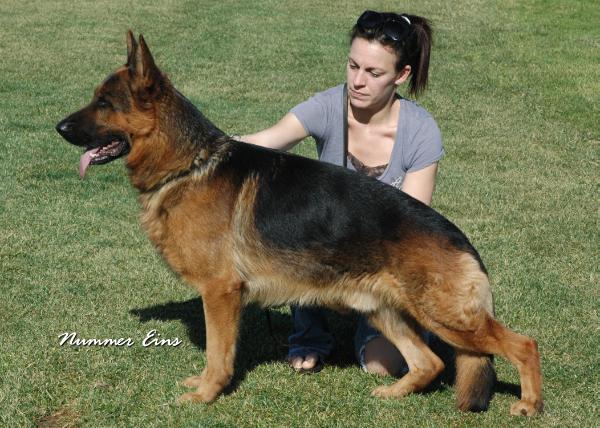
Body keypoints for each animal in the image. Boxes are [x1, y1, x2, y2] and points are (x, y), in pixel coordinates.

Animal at [55, 31, 543, 416]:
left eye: (104, 103)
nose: (58, 127)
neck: (188, 164)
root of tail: (460, 239)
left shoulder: (220, 293)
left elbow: (218, 354)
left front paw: (207, 394)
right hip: (386, 312)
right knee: (431, 363)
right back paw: (393, 394)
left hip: (447, 318)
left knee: (524, 345)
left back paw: (529, 403)